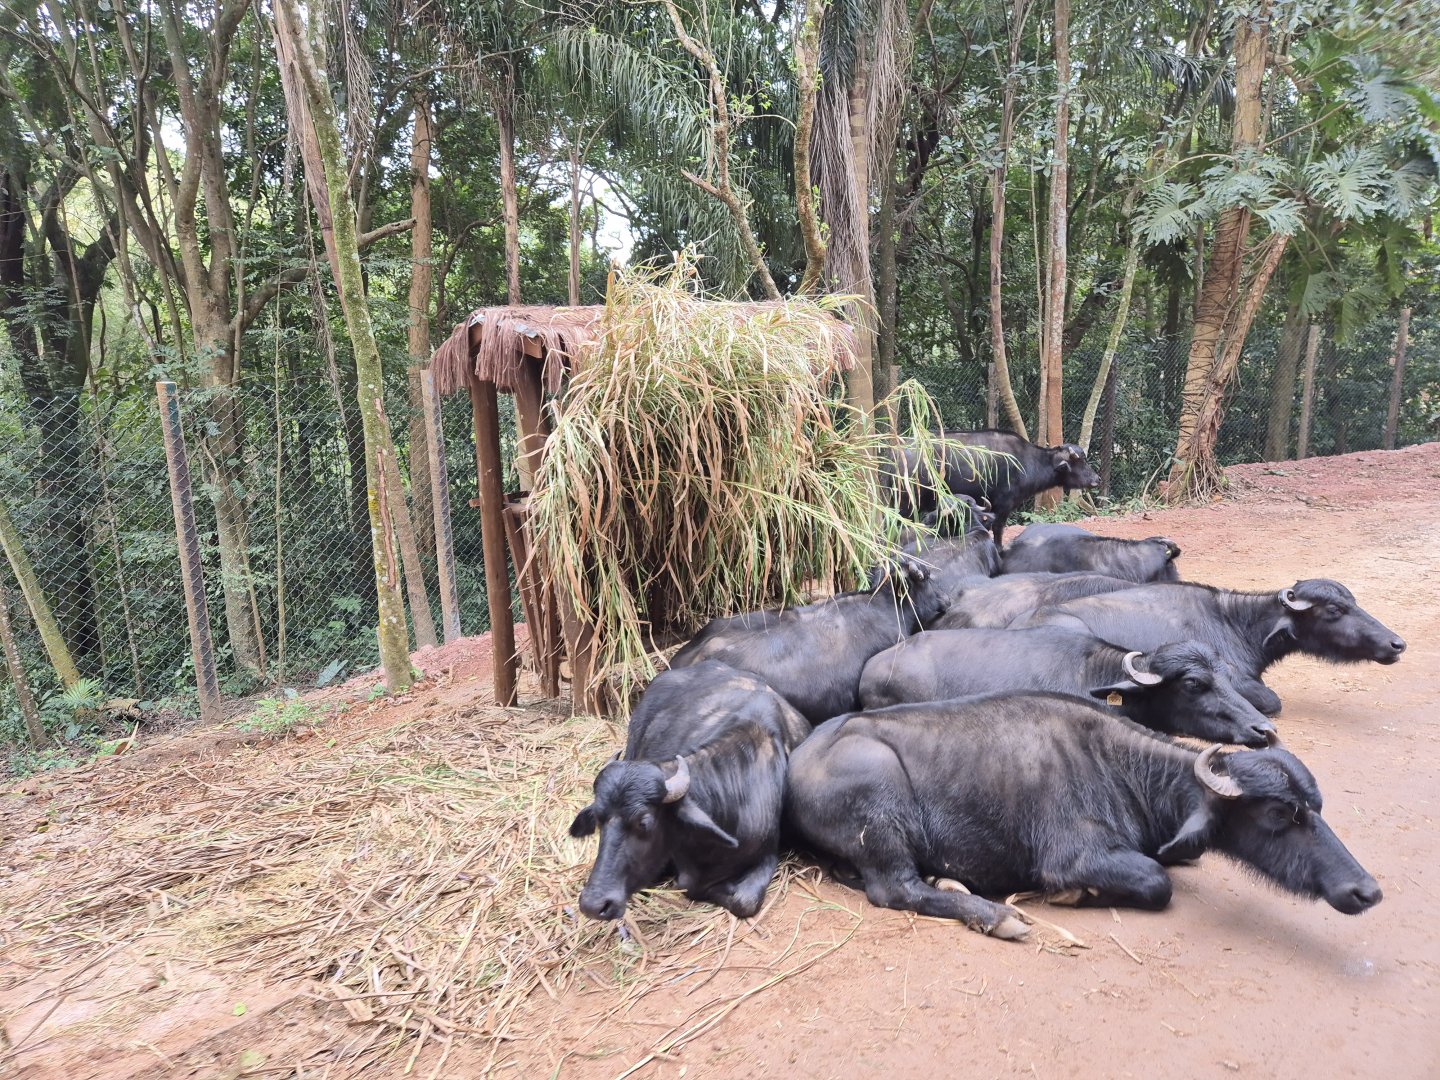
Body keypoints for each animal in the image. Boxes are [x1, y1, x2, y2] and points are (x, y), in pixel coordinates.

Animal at [785, 694, 1382, 938]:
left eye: (1317, 807)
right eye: (1280, 813)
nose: (1366, 891)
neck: (1119, 765)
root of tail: (800, 759)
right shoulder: (1074, 855)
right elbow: (1157, 880)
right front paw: (1072, 896)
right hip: (882, 811)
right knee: (895, 888)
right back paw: (995, 915)